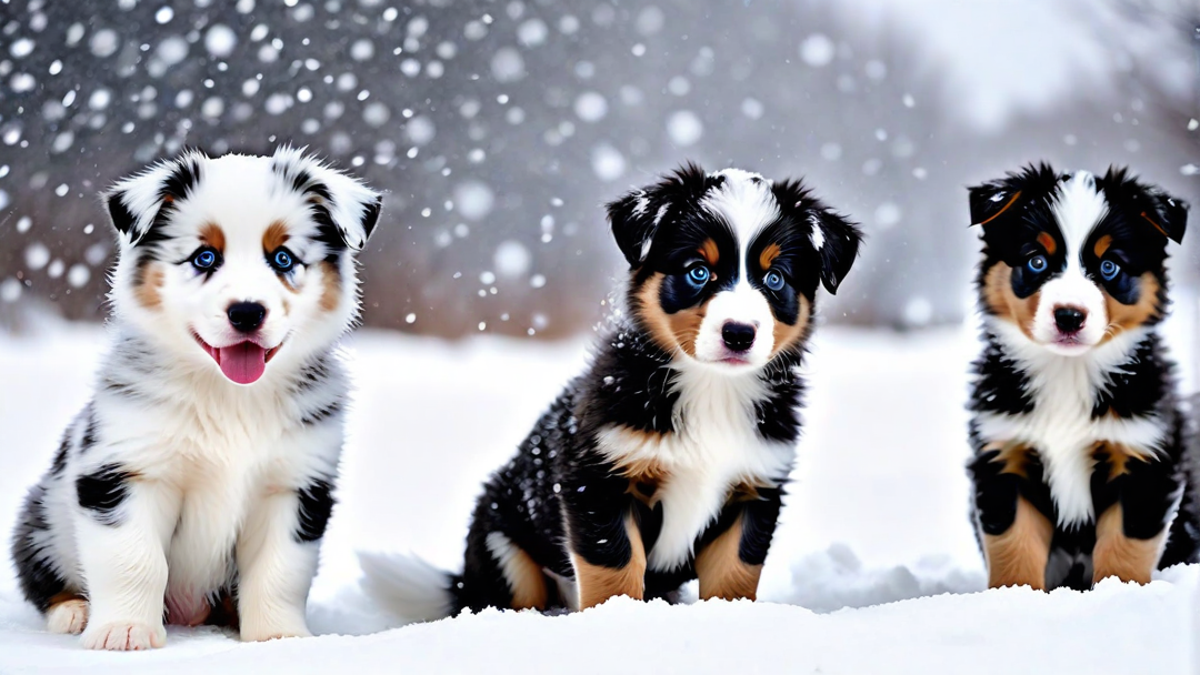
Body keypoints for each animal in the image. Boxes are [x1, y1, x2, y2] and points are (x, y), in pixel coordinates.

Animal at [9, 145, 381, 648]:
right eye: (205, 257)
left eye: (283, 259)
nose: (247, 312)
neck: (230, 397)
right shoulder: (124, 472)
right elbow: (135, 560)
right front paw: (125, 632)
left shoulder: (293, 484)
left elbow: (279, 572)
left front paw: (278, 638)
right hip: (40, 516)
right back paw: (75, 612)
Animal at [364, 165, 864, 619]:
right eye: (698, 272)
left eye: (775, 278)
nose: (739, 333)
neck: (711, 390)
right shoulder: (597, 479)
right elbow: (615, 565)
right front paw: (615, 622)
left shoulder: (754, 488)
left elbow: (736, 574)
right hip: (502, 542)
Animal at [969, 163, 1195, 588]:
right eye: (1037, 261)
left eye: (1109, 266)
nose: (1069, 316)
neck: (1068, 373)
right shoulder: (1005, 453)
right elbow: (1013, 546)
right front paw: (1012, 595)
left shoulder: (1143, 456)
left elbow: (1125, 548)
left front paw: (1118, 593)